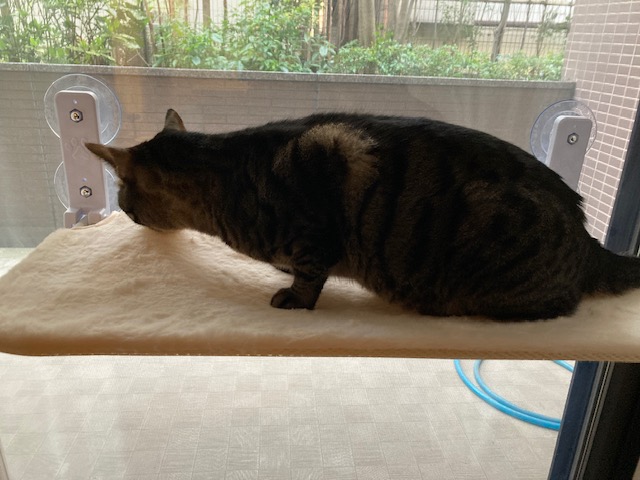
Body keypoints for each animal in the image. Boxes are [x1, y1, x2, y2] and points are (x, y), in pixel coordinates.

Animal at [86, 109, 640, 320]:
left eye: (125, 200)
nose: (125, 214)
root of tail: (590, 244)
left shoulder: (321, 199)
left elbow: (311, 273)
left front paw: (294, 297)